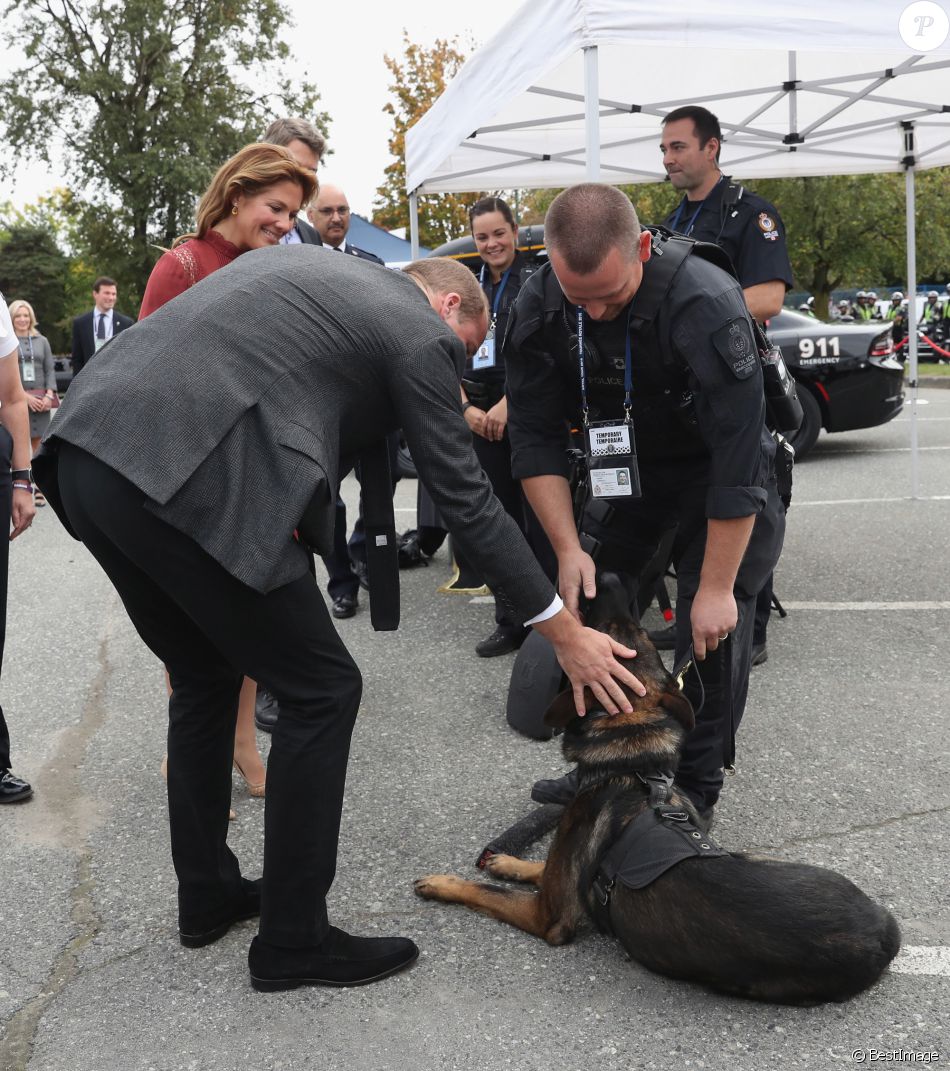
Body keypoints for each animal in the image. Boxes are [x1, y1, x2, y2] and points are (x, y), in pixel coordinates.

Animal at [415, 574, 899, 998]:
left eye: (606, 632)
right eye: (634, 632)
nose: (607, 578)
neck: (634, 764)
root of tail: (884, 932)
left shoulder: (546, 915)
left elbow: (486, 892)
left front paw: (443, 883)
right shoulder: (559, 873)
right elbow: (538, 866)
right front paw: (507, 862)